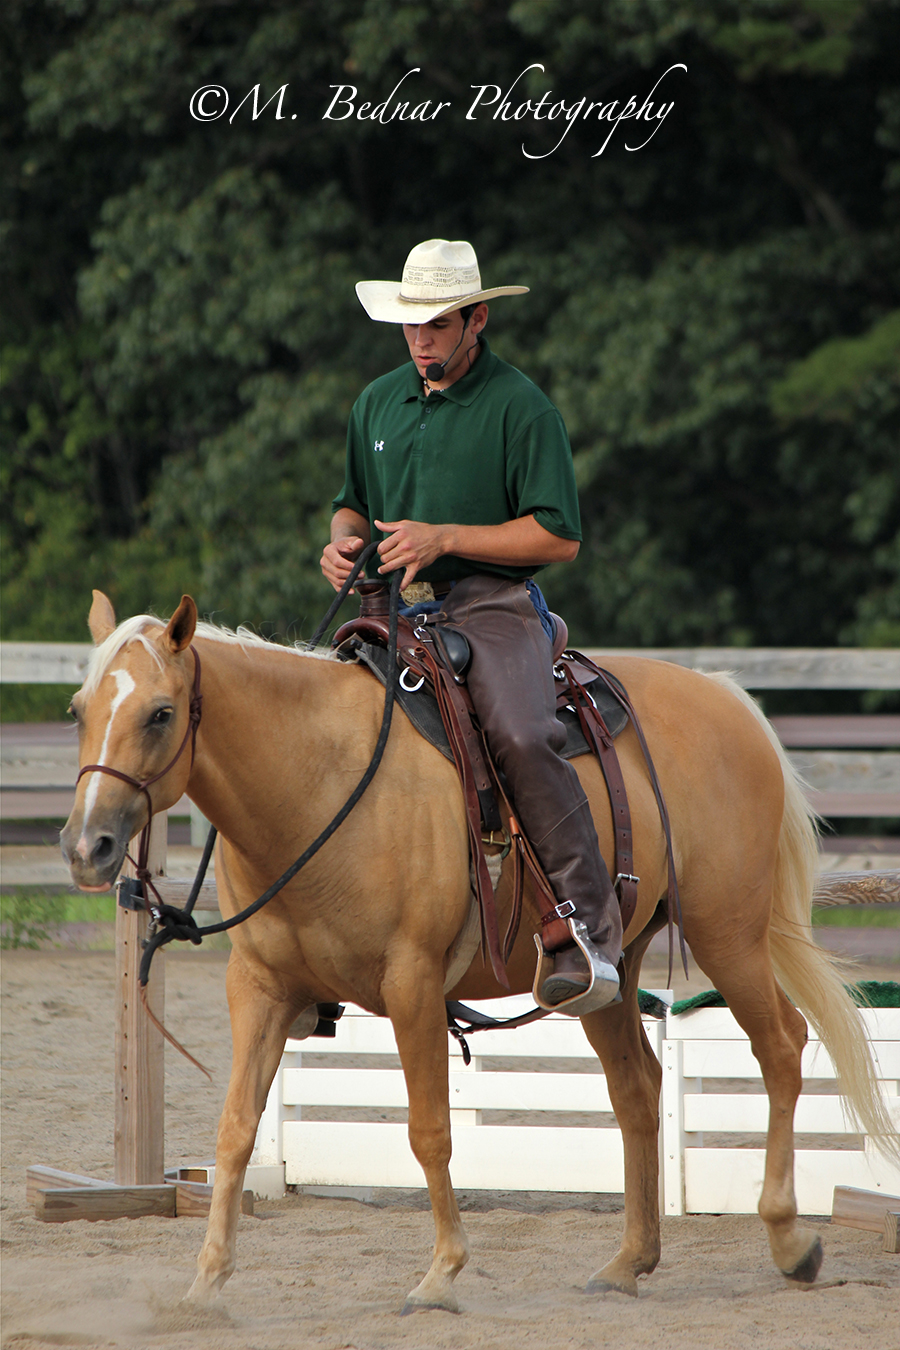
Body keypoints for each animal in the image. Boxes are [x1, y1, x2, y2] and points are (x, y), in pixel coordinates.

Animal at [60, 589, 894, 1312]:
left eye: (161, 713)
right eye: (79, 711)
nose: (87, 846)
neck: (321, 779)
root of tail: (729, 699)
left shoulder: (413, 985)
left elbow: (429, 1131)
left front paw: (441, 1275)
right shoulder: (259, 989)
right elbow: (234, 1135)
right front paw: (204, 1286)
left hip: (731, 933)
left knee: (781, 1046)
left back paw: (789, 1241)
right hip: (610, 971)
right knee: (638, 1089)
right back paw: (629, 1262)